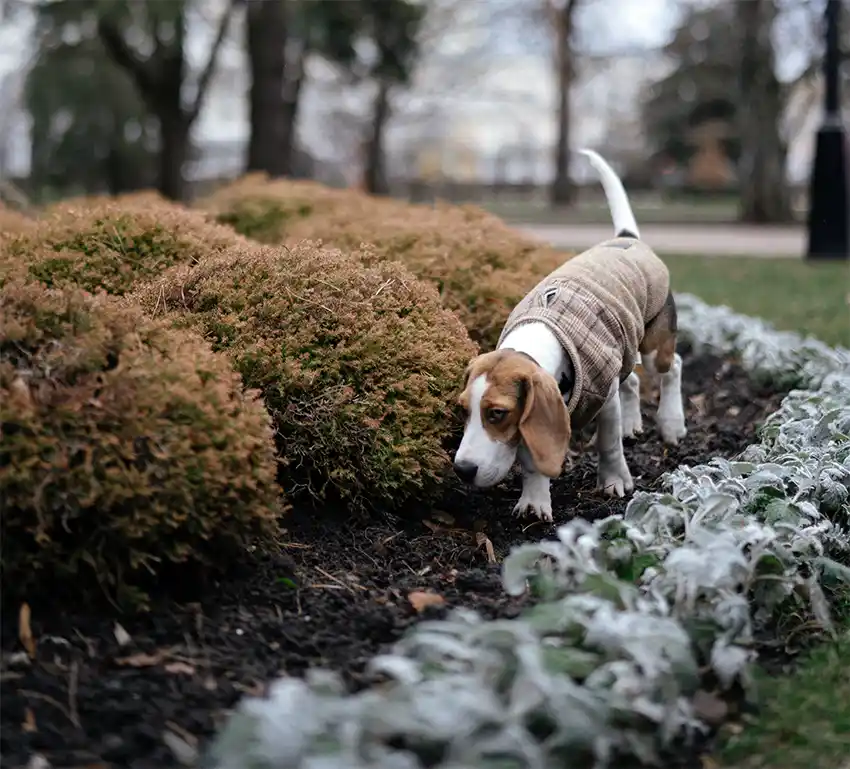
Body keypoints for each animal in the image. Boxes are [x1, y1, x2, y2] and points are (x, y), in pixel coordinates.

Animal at [450, 148, 684, 520]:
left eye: (497, 413)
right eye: (463, 410)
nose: (462, 470)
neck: (541, 334)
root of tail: (627, 238)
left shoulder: (603, 394)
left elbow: (607, 443)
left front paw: (614, 481)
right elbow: (533, 459)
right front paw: (534, 500)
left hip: (653, 344)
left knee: (672, 366)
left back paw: (672, 423)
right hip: (624, 350)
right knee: (632, 380)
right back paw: (634, 423)